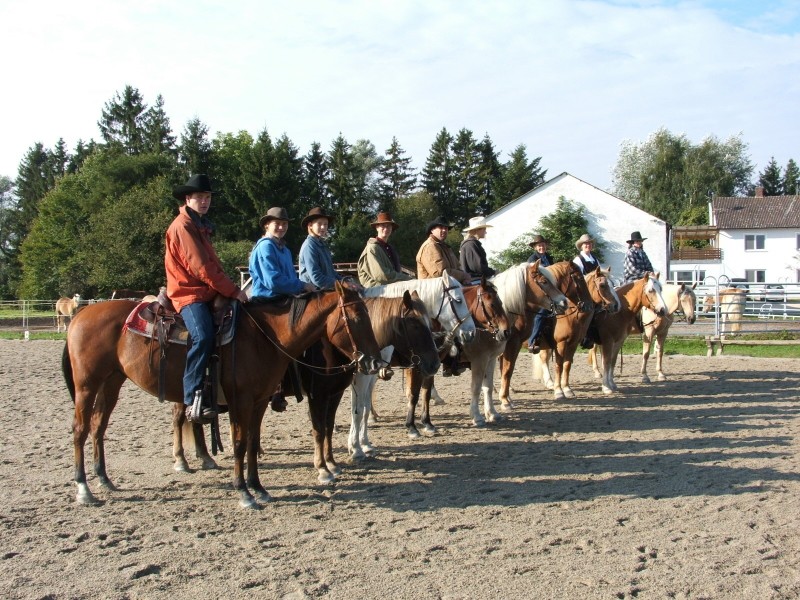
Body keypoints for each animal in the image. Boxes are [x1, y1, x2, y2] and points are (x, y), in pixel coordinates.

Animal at [62, 283, 385, 509]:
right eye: (356, 317)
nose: (374, 361)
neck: (267, 337)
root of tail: (81, 315)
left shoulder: (261, 401)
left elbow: (255, 441)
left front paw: (259, 488)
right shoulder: (251, 400)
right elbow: (244, 442)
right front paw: (244, 491)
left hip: (112, 382)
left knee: (100, 427)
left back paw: (105, 478)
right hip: (87, 385)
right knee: (81, 429)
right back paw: (84, 489)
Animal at [351, 270, 478, 448]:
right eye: (458, 300)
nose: (471, 333)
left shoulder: (430, 365)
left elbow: (425, 393)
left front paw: (427, 423)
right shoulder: (415, 366)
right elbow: (414, 394)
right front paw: (411, 427)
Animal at [493, 261, 570, 410]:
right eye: (544, 281)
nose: (564, 302)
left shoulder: (514, 345)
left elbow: (508, 370)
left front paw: (506, 397)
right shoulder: (510, 344)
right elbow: (506, 370)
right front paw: (505, 400)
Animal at [533, 263, 621, 400]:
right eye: (602, 285)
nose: (616, 305)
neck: (569, 315)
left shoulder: (573, 343)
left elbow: (567, 365)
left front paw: (567, 389)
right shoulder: (561, 344)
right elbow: (559, 365)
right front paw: (558, 391)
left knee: (544, 358)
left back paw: (549, 382)